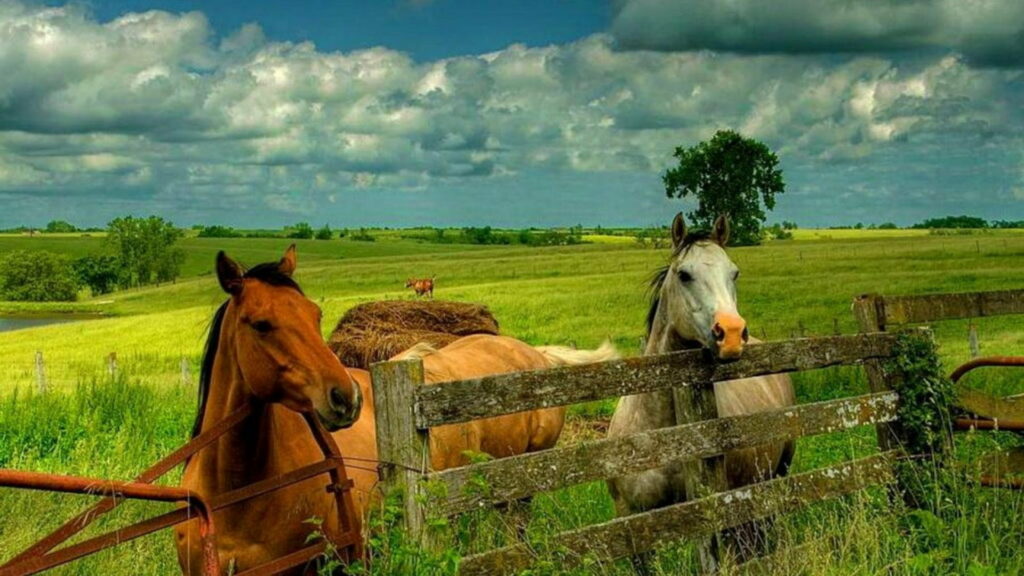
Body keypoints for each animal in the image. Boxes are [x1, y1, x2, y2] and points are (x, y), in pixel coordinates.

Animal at [177, 246, 617, 574]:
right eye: (261, 324)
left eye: (315, 315)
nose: (346, 397)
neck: (239, 498)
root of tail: (533, 353)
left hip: (525, 484)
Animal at [606, 213, 795, 572]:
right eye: (684, 274)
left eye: (734, 272)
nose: (732, 334)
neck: (662, 435)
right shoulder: (632, 524)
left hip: (775, 475)